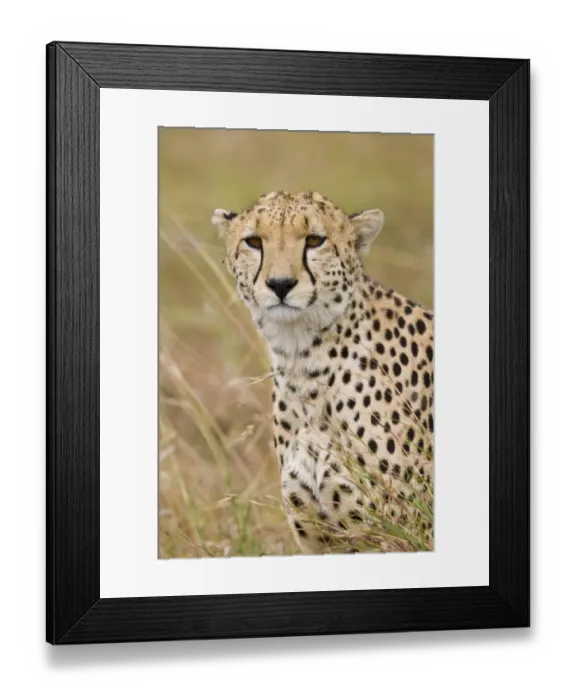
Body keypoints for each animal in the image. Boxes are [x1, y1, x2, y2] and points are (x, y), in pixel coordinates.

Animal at [211, 190, 434, 554]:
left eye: (315, 240)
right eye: (254, 241)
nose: (281, 284)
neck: (305, 363)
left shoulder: (398, 535)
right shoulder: (321, 539)